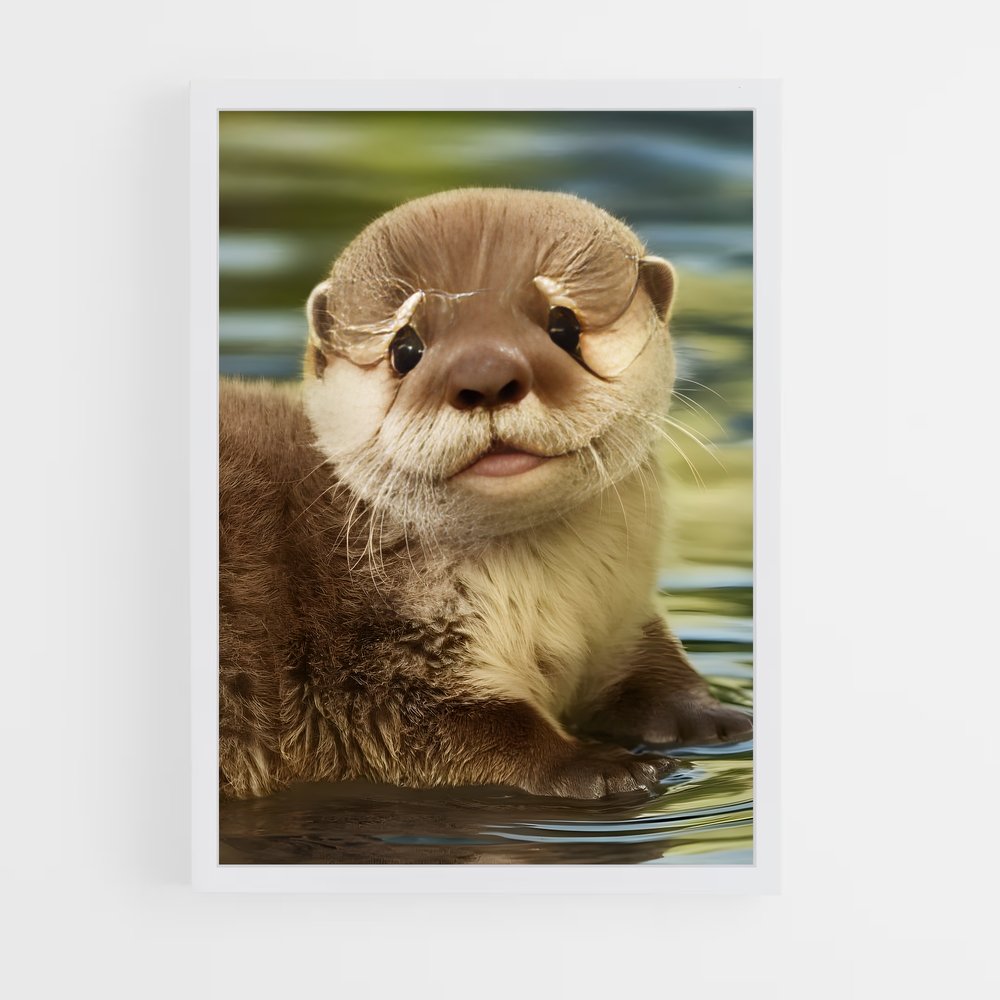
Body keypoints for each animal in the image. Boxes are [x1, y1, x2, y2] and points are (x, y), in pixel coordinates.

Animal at [219, 188, 751, 801]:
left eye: (563, 326)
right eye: (405, 347)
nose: (487, 373)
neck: (545, 601)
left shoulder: (620, 615)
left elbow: (657, 670)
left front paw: (715, 717)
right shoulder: (368, 661)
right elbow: (448, 728)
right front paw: (602, 766)